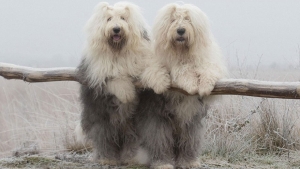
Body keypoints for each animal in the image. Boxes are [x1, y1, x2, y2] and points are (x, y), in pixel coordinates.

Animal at [76, 1, 170, 165]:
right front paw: (126, 94)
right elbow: (115, 78)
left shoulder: (142, 59)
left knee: (130, 139)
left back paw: (129, 157)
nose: (116, 29)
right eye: (108, 19)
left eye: (123, 18)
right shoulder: (99, 71)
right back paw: (107, 158)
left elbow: (151, 68)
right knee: (103, 138)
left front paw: (160, 83)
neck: (118, 51)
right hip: (101, 117)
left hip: (134, 124)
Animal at [135, 2, 226, 169]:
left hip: (191, 122)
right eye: (173, 20)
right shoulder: (157, 63)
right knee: (160, 141)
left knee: (189, 141)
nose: (181, 30)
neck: (181, 51)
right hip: (158, 120)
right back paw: (163, 163)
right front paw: (184, 83)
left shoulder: (208, 62)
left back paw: (189, 161)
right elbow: (167, 70)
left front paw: (204, 86)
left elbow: (208, 70)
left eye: (188, 19)